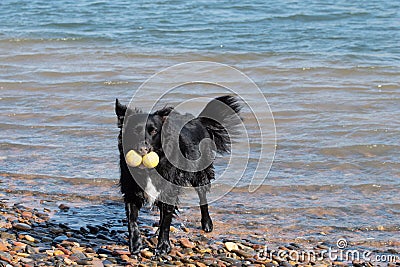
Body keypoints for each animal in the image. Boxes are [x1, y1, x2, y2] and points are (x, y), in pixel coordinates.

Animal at [115, 95, 241, 254]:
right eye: (134, 131)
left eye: (154, 131)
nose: (143, 149)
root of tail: (198, 120)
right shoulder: (130, 189)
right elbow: (132, 220)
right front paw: (135, 244)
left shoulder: (170, 189)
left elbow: (166, 220)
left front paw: (163, 245)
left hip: (199, 173)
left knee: (203, 198)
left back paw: (207, 224)